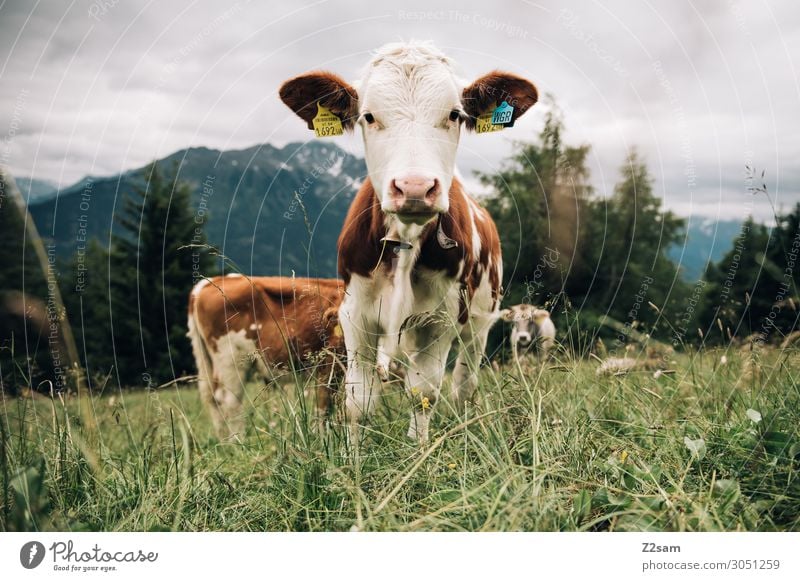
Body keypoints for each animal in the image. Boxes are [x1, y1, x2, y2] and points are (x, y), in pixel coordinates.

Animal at [191, 274, 346, 438]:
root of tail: (211, 281)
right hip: (231, 360)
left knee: (211, 398)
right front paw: (323, 439)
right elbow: (324, 406)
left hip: (207, 361)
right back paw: (238, 440)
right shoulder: (330, 363)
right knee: (229, 400)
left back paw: (223, 439)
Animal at [280, 43, 536, 442]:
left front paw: (420, 450)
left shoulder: (441, 320)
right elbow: (359, 400)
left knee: (464, 383)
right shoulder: (355, 314)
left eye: (455, 114)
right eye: (368, 116)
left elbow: (424, 393)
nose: (415, 187)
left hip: (478, 324)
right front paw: (353, 458)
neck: (406, 239)